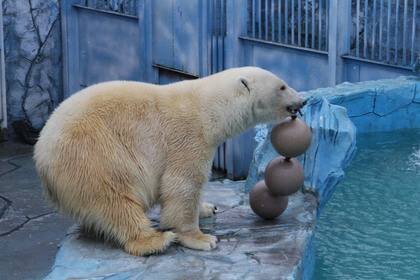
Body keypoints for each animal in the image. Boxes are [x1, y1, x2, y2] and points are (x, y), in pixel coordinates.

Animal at [32, 67, 302, 256]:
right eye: (282, 86)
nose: (302, 101)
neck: (209, 109)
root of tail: (41, 156)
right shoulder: (187, 139)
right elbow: (182, 185)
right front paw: (202, 239)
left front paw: (208, 208)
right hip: (94, 157)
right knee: (115, 201)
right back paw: (155, 240)